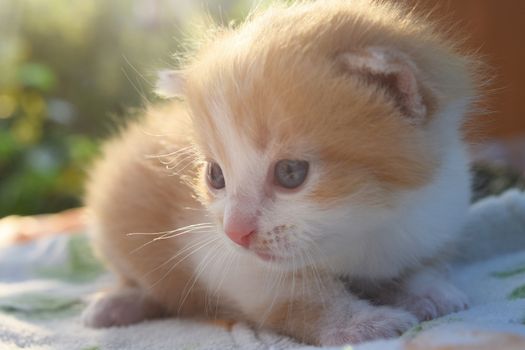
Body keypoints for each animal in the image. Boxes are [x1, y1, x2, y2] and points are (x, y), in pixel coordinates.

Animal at [81, 0, 474, 344]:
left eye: (289, 172)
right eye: (216, 176)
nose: (235, 232)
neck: (367, 226)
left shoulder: (438, 213)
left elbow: (425, 264)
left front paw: (428, 291)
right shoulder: (222, 257)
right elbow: (303, 297)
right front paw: (361, 324)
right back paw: (117, 305)